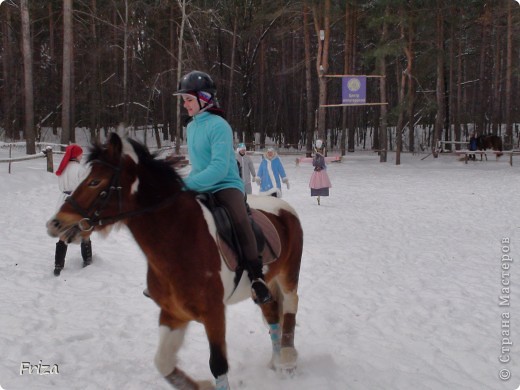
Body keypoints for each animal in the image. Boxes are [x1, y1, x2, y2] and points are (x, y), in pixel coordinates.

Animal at [47, 133, 304, 388]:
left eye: (95, 181)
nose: (55, 223)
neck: (179, 240)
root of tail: (283, 207)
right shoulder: (173, 314)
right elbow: (163, 363)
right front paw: (202, 385)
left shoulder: (214, 314)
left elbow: (218, 365)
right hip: (266, 285)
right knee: (272, 312)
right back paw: (276, 362)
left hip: (288, 275)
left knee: (290, 305)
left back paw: (288, 358)